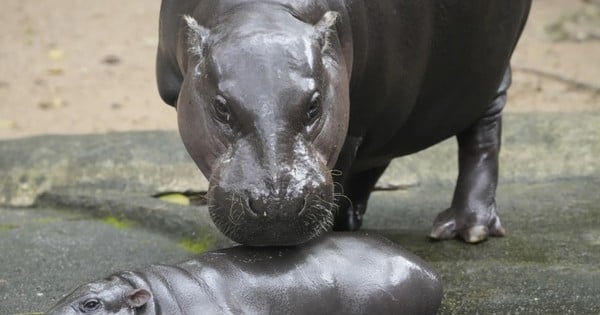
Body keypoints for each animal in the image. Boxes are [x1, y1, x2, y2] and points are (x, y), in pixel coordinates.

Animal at [157, 0, 532, 246]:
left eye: (314, 105)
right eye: (221, 107)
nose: (278, 204)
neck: (260, 14)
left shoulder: (352, 121)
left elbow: (341, 171)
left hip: (488, 74)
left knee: (482, 137)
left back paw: (467, 229)